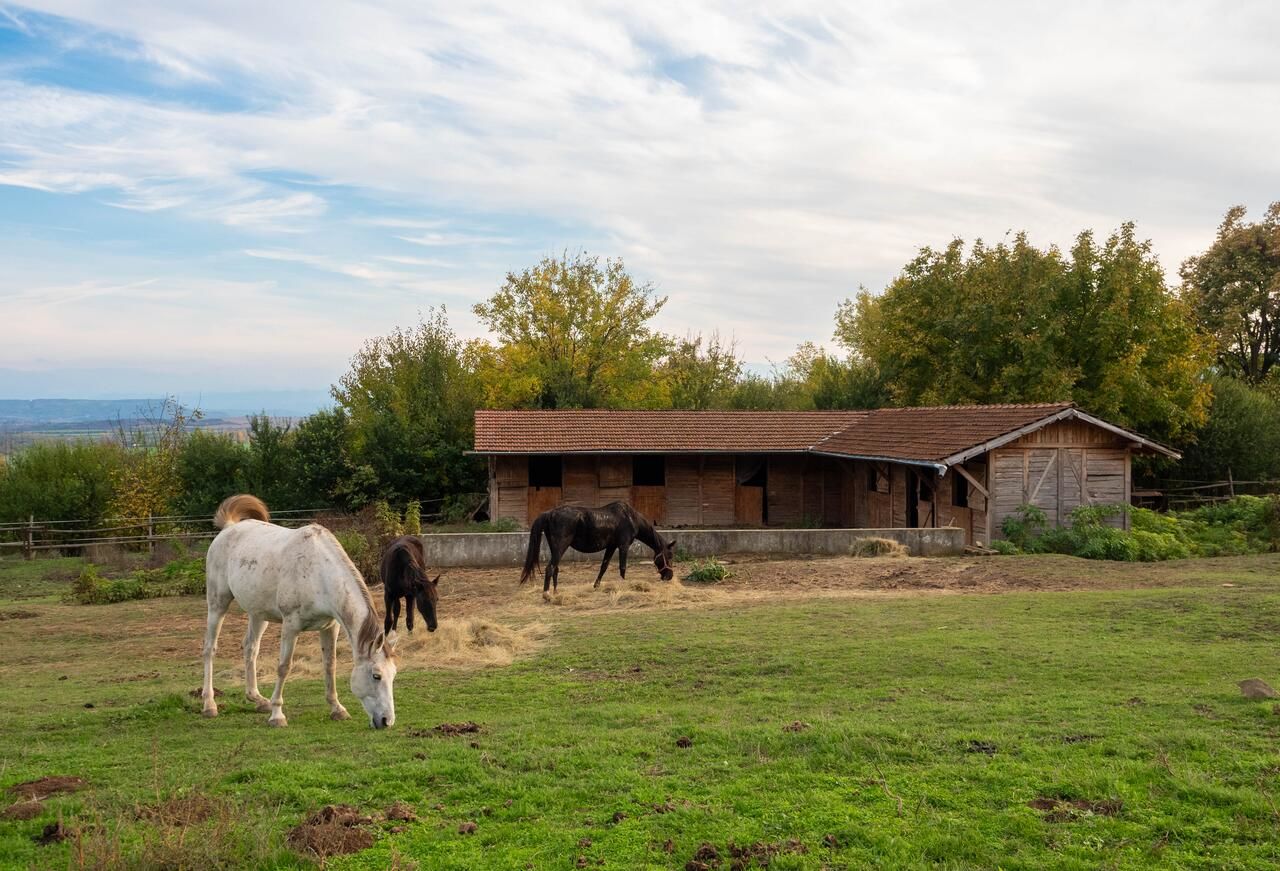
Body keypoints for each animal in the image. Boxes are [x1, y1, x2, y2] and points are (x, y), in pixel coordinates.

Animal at [199, 496, 396, 727]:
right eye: (376, 676)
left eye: (393, 675)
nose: (386, 720)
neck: (318, 573)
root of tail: (229, 528)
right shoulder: (291, 626)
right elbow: (284, 667)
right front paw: (277, 715)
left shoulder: (330, 626)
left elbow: (330, 665)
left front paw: (337, 709)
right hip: (217, 604)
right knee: (210, 649)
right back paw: (209, 705)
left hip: (259, 614)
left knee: (250, 648)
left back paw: (258, 700)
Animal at [519, 499, 680, 594]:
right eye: (669, 556)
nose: (669, 576)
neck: (630, 518)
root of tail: (549, 513)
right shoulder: (623, 545)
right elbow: (622, 567)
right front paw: (624, 585)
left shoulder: (611, 546)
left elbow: (604, 566)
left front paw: (596, 585)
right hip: (560, 547)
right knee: (550, 568)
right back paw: (546, 595)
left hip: (555, 548)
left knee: (555, 569)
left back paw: (555, 592)